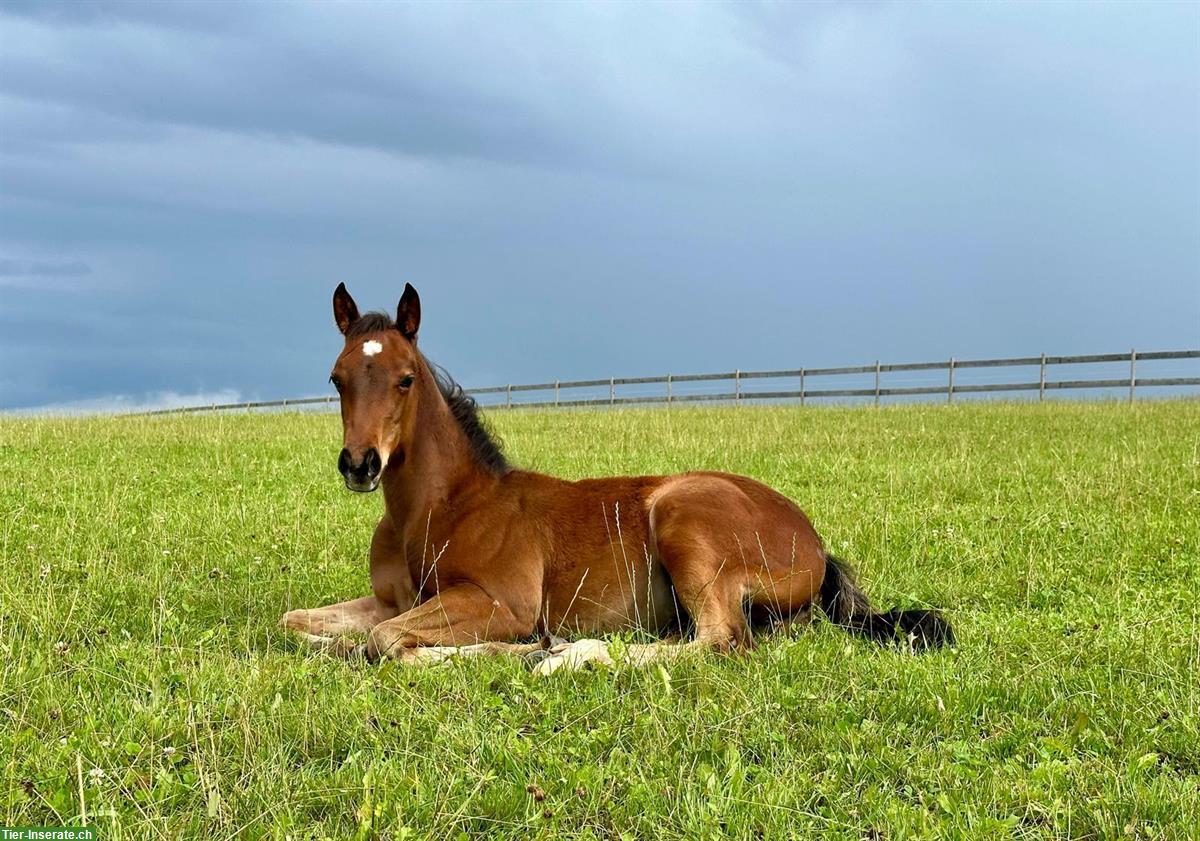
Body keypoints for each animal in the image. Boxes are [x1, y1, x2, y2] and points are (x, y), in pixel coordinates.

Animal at [276, 281, 950, 667]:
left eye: (406, 379)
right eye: (337, 378)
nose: (359, 465)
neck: (440, 506)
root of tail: (814, 542)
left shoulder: (499, 600)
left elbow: (389, 642)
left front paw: (509, 649)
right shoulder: (391, 600)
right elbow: (300, 624)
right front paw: (331, 642)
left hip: (682, 518)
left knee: (720, 642)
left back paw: (570, 653)